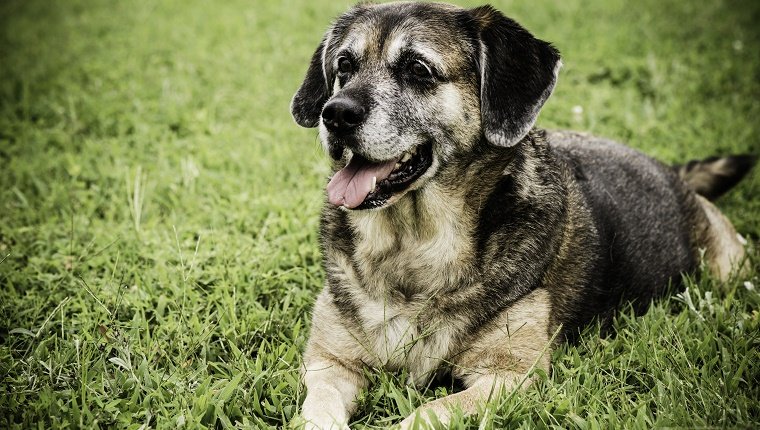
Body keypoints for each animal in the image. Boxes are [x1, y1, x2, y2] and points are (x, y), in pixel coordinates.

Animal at [290, 2, 756, 426]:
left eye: (418, 69)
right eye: (344, 66)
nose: (335, 113)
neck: (414, 246)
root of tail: (674, 173)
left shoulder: (509, 376)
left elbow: (426, 412)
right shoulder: (329, 362)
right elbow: (319, 411)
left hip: (731, 269)